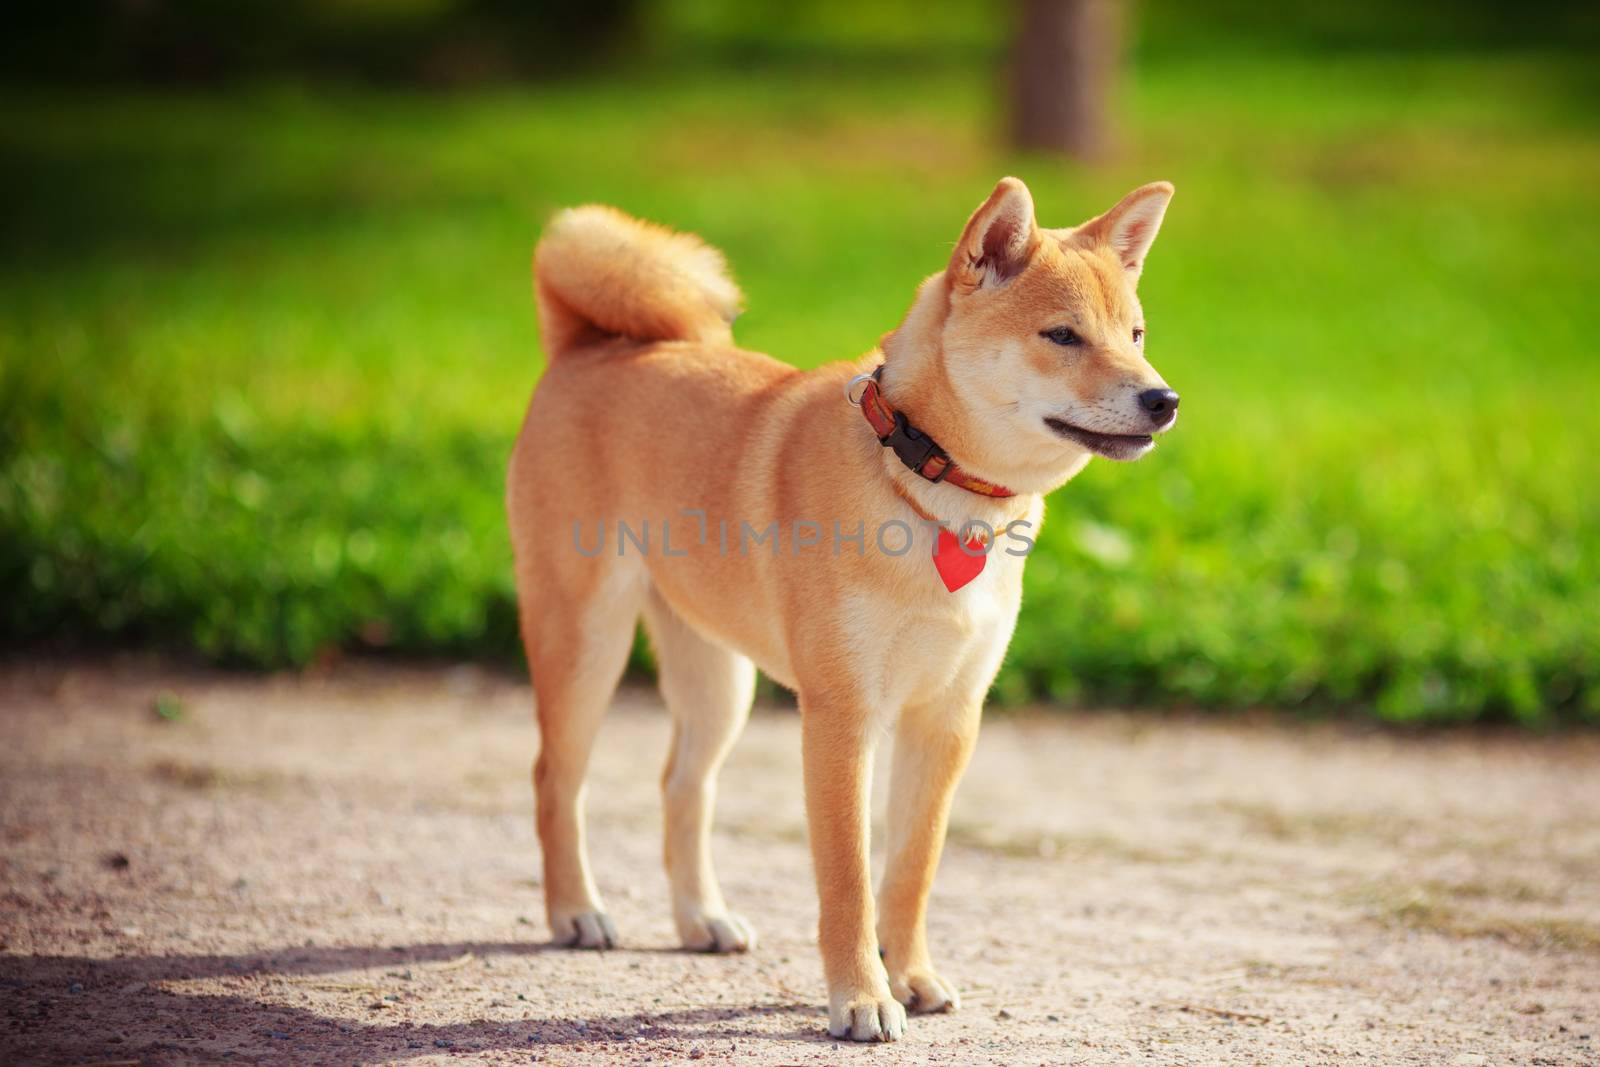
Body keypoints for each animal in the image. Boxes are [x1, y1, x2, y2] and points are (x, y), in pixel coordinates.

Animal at [508, 177, 1177, 1043]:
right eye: (1062, 335)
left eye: (1135, 333)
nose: (1163, 398)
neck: (932, 484)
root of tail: (586, 347)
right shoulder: (841, 715)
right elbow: (849, 879)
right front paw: (862, 996)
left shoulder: (947, 717)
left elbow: (912, 867)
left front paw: (912, 975)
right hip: (584, 639)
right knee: (557, 777)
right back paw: (576, 910)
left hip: (717, 678)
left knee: (682, 786)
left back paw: (701, 916)